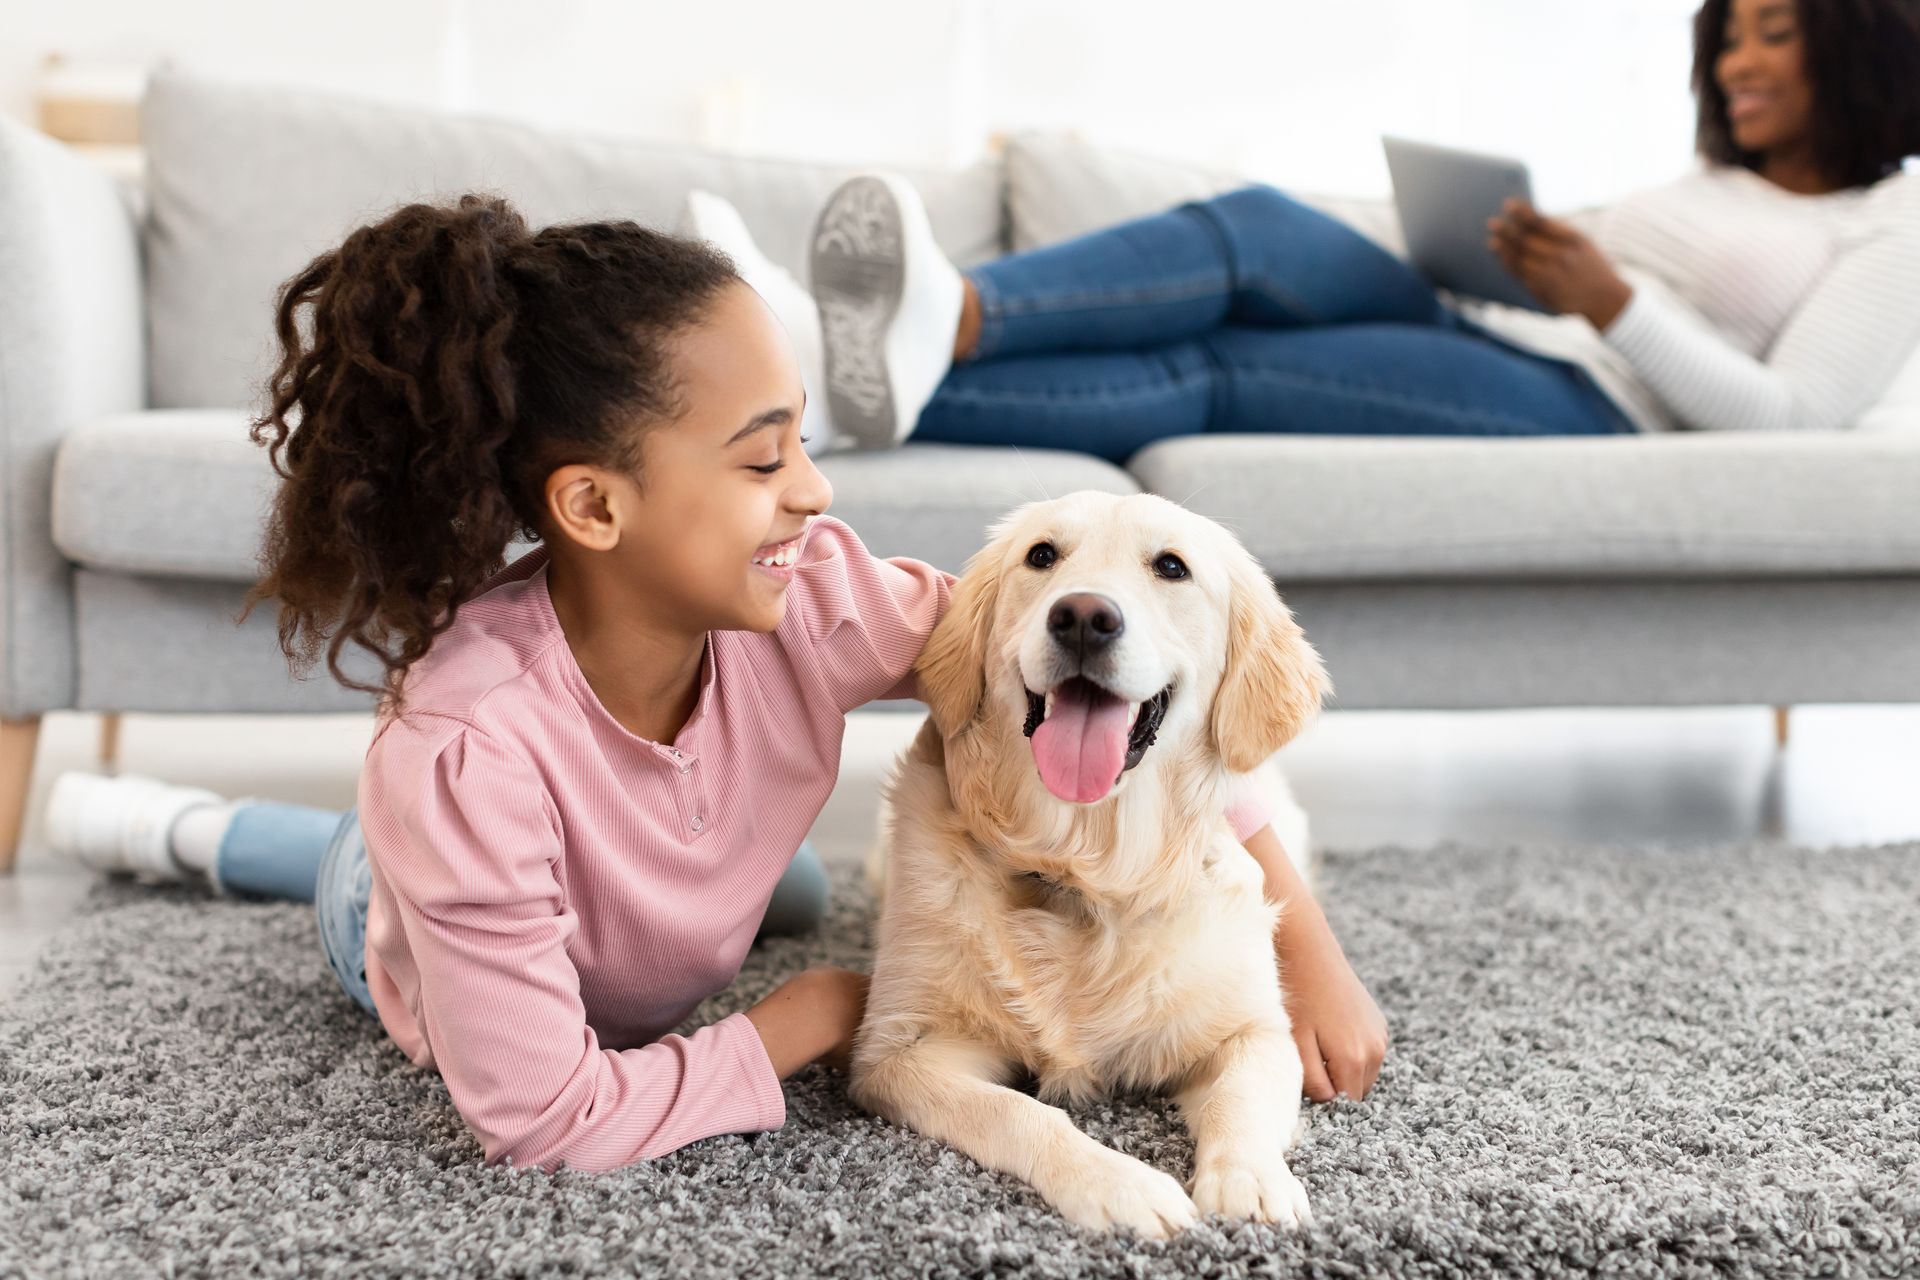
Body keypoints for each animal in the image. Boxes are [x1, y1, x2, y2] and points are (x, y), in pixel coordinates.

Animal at [856, 495, 1336, 1243]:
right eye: (1041, 555)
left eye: (1172, 566)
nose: (1083, 616)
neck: (1083, 869)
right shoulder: (900, 1052)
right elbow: (1018, 1112)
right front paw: (1121, 1183)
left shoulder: (1252, 1029)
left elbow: (1241, 1097)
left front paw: (1251, 1181)